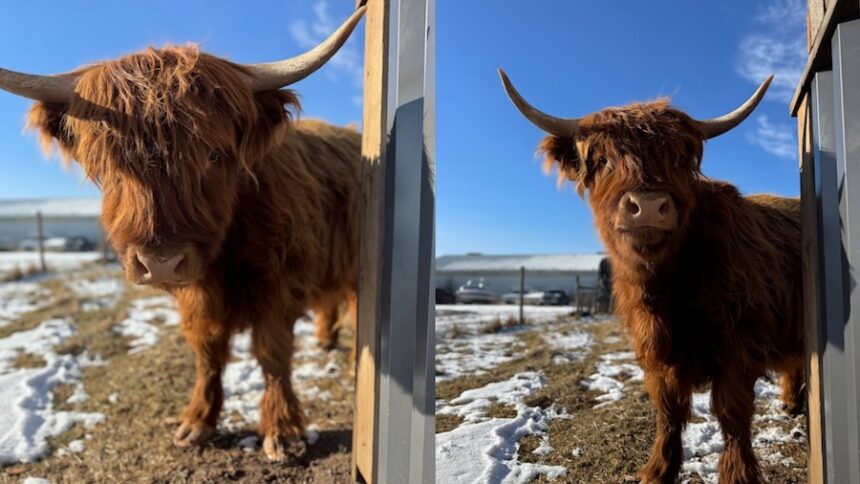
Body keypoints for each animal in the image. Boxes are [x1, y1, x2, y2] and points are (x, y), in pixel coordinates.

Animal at [0, 7, 366, 461]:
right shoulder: (197, 294)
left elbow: (273, 353)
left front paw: (282, 432)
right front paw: (198, 421)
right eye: (110, 162)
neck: (225, 260)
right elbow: (207, 352)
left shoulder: (276, 285)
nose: (160, 263)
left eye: (214, 153)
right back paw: (325, 340)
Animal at [500, 69, 803, 484]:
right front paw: (659, 470)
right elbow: (669, 412)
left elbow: (733, 416)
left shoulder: (737, 349)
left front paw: (738, 474)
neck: (667, 292)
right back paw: (790, 403)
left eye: (677, 157)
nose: (647, 207)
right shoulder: (656, 353)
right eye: (602, 159)